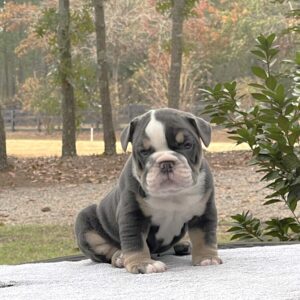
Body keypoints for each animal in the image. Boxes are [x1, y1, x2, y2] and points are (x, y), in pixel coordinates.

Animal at [74, 108, 221, 274]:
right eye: (143, 152)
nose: (166, 163)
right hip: (86, 223)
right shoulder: (133, 215)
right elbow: (136, 242)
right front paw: (142, 264)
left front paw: (206, 258)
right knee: (107, 250)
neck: (172, 194)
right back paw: (120, 257)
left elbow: (205, 237)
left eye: (187, 145)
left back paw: (182, 245)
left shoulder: (204, 211)